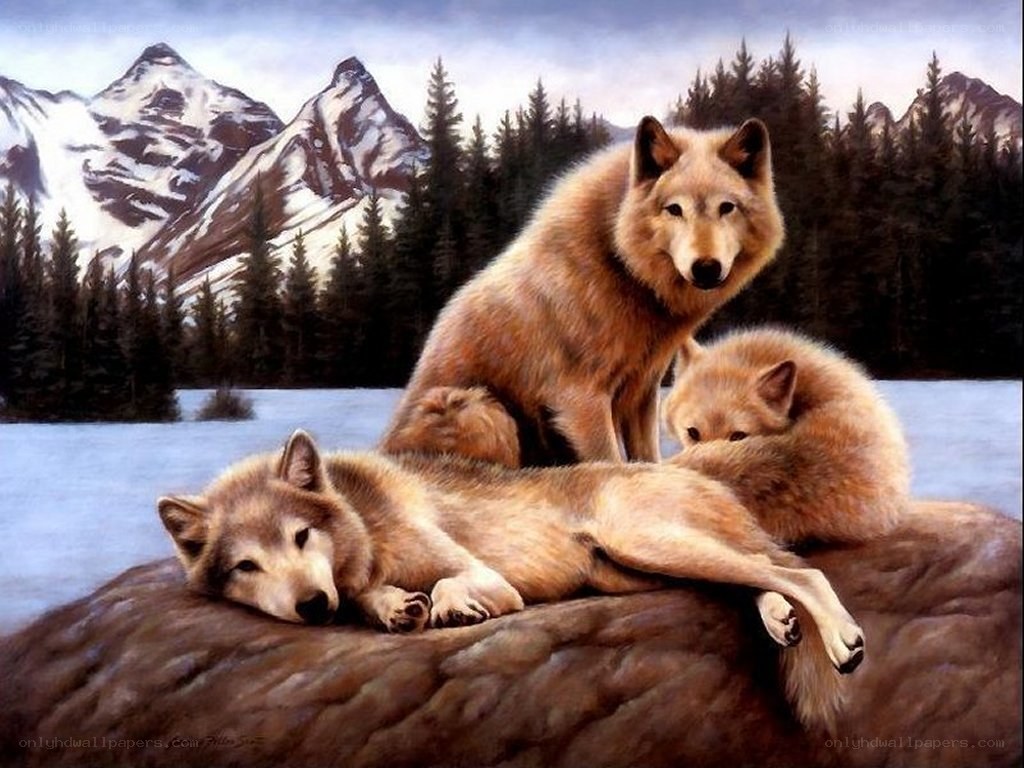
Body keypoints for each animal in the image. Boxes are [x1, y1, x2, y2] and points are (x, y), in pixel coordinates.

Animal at [160, 430, 865, 731]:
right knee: (765, 577)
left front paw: (450, 610)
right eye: (246, 566)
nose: (311, 605)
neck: (363, 519)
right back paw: (779, 619)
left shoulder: (490, 577)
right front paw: (395, 608)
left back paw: (844, 642)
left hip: (651, 543)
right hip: (643, 570)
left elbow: (451, 586)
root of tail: (691, 470)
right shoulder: (354, 586)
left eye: (302, 538)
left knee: (801, 570)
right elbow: (370, 599)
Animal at [380, 115, 784, 467]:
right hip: (478, 408)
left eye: (727, 207)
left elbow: (646, 458)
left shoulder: (642, 391)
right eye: (674, 209)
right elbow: (612, 463)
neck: (621, 267)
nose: (706, 267)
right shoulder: (580, 400)